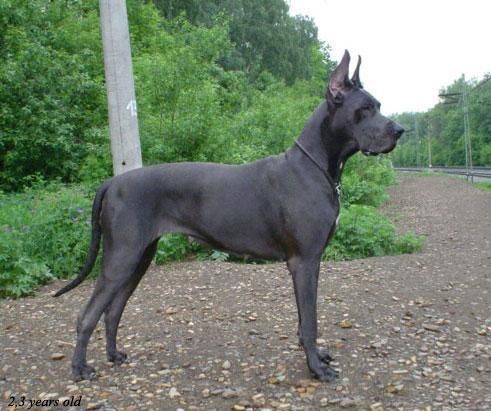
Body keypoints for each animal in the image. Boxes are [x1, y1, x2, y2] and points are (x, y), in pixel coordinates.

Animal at [55, 50, 404, 382]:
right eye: (365, 109)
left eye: (379, 105)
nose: (401, 130)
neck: (315, 167)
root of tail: (112, 182)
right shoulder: (305, 261)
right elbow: (310, 321)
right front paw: (316, 369)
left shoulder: (307, 263)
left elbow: (305, 321)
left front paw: (317, 358)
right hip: (121, 257)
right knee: (87, 315)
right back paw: (79, 368)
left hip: (139, 257)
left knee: (112, 311)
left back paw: (114, 355)